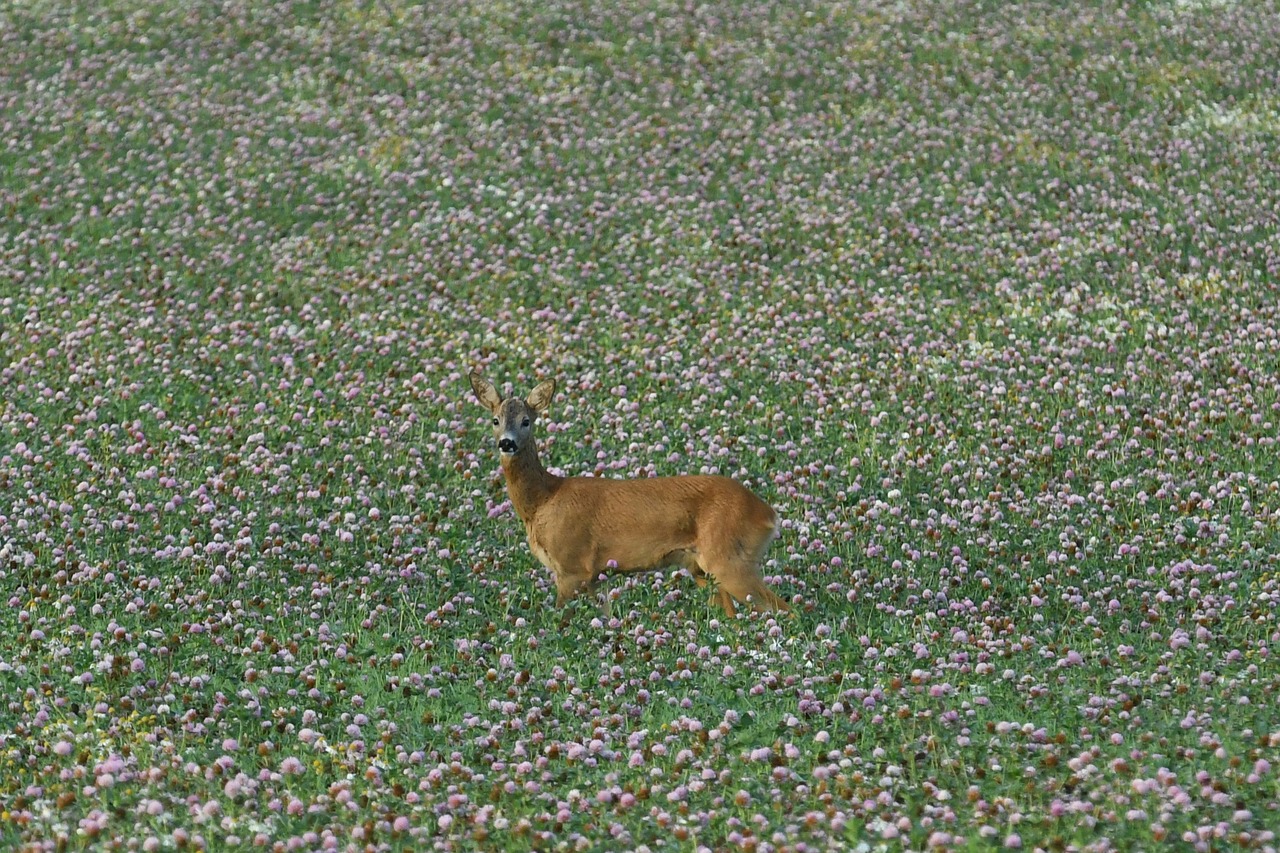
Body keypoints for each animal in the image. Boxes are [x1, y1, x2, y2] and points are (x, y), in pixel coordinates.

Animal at [473, 368, 788, 614]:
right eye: (495, 420)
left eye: (526, 420)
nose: (507, 443)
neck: (544, 499)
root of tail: (768, 513)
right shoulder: (595, 577)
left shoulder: (572, 567)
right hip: (702, 567)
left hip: (730, 559)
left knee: (784, 610)